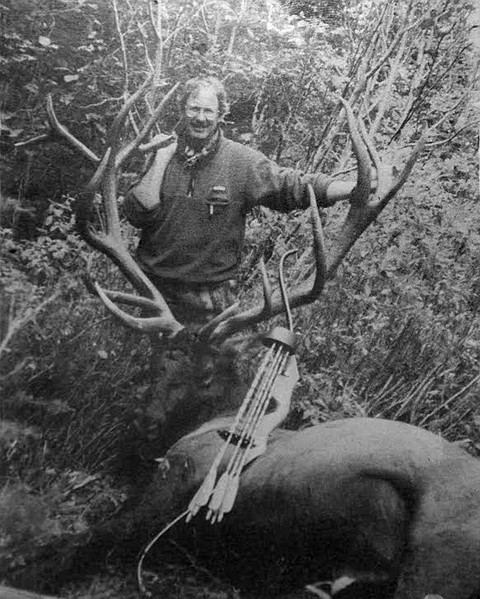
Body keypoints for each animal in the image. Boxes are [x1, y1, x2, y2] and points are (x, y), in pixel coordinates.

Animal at [40, 81, 480, 599]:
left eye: (208, 376)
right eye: (157, 361)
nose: (144, 424)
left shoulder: (172, 481)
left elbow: (81, 544)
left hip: (432, 550)